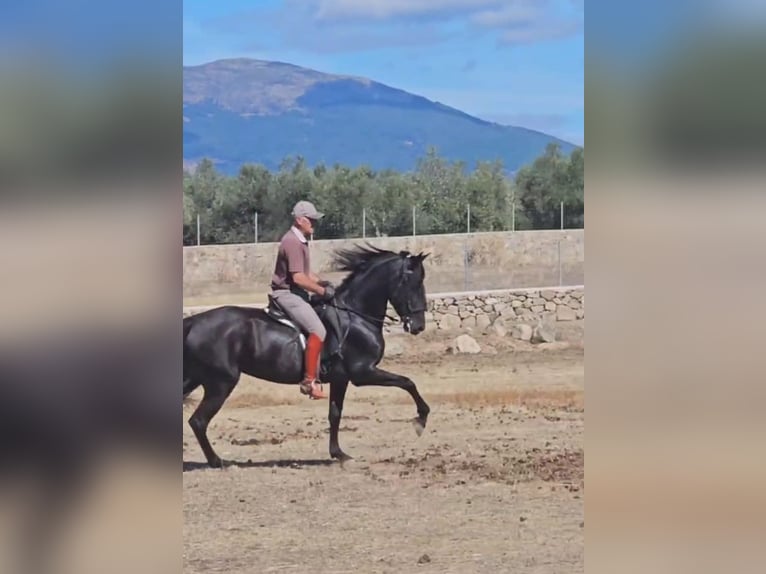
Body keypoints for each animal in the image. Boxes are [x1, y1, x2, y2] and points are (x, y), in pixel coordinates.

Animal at [182, 243, 432, 468]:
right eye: (413, 282)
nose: (418, 326)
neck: (356, 316)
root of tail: (194, 321)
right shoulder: (363, 373)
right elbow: (407, 382)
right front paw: (421, 419)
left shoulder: (341, 379)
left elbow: (335, 414)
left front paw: (339, 454)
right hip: (221, 383)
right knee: (199, 421)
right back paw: (218, 461)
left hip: (196, 378)